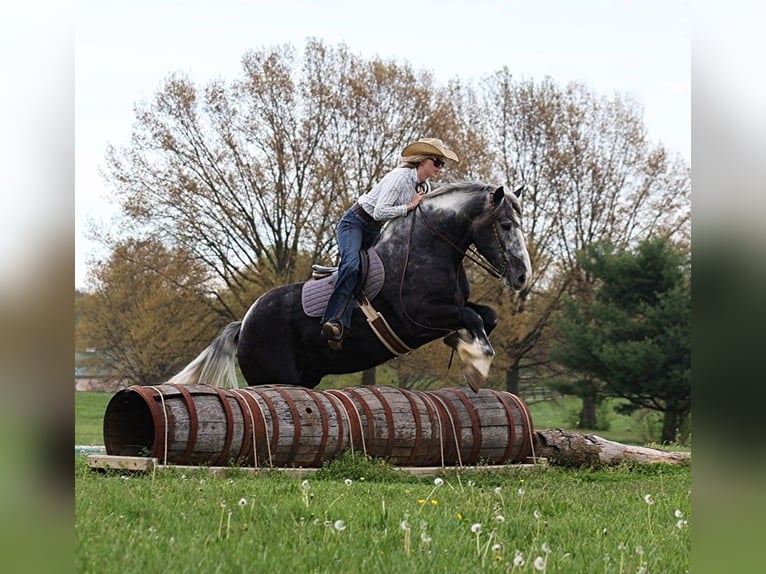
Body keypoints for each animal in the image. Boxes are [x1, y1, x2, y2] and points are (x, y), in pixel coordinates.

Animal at [169, 182, 532, 394]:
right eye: (505, 225)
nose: (522, 277)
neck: (427, 248)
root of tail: (243, 324)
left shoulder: (452, 308)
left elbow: (486, 316)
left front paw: (462, 346)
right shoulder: (420, 318)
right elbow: (473, 319)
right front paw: (477, 366)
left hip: (305, 376)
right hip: (273, 375)